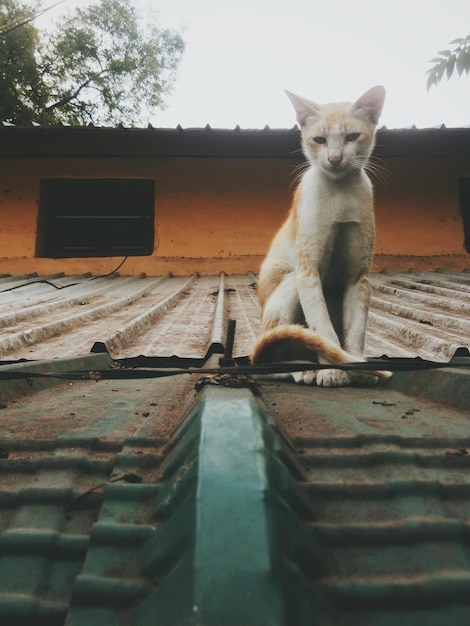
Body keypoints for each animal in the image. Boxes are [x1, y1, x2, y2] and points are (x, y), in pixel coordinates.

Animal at [252, 84, 392, 386]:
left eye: (352, 137)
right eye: (319, 140)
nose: (335, 158)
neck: (340, 193)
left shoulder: (358, 278)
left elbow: (355, 333)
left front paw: (357, 367)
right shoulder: (308, 272)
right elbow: (323, 329)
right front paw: (332, 370)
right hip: (291, 282)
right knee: (269, 360)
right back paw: (304, 370)